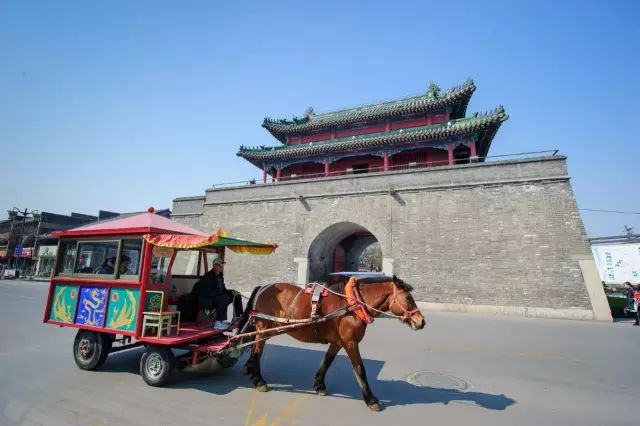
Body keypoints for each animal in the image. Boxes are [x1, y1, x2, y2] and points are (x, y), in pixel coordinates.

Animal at [240, 274, 424, 412]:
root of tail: (263, 288)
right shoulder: (350, 342)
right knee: (257, 351)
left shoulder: (338, 342)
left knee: (254, 348)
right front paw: (371, 399)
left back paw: (250, 369)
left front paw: (319, 384)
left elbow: (327, 361)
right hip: (264, 328)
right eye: (408, 298)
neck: (352, 305)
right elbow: (360, 369)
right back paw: (259, 380)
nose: (421, 321)